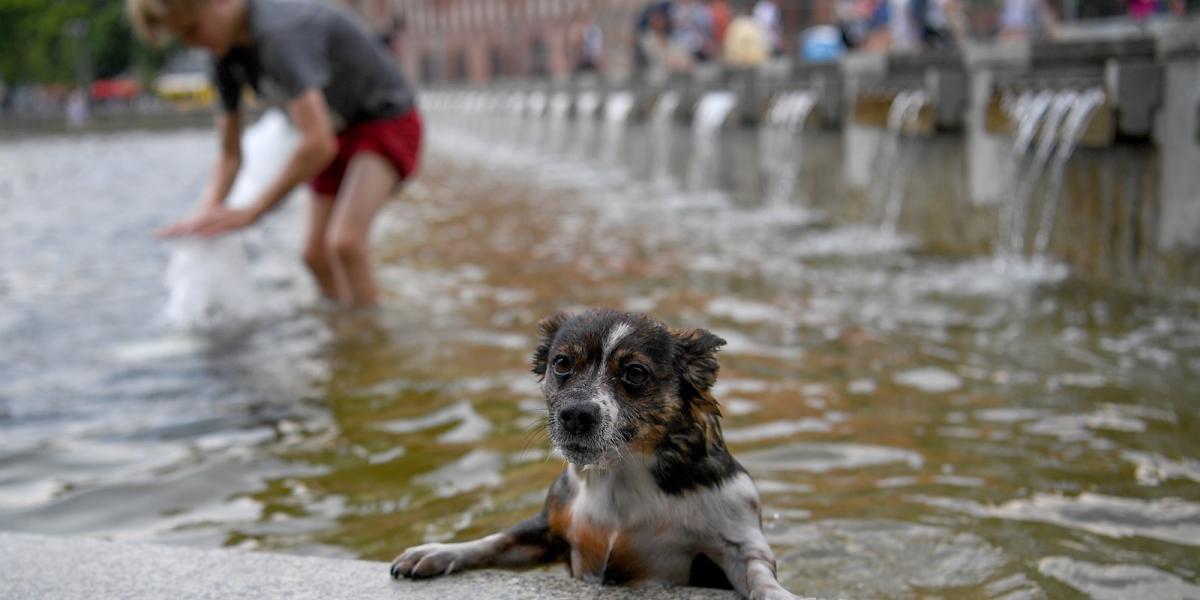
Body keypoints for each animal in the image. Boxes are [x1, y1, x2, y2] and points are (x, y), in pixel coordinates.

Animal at [388, 309, 796, 600]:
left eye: (635, 372)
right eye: (562, 363)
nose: (575, 415)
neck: (620, 473)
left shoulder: (739, 543)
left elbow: (759, 575)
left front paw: (779, 594)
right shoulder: (551, 531)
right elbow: (494, 540)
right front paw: (438, 552)